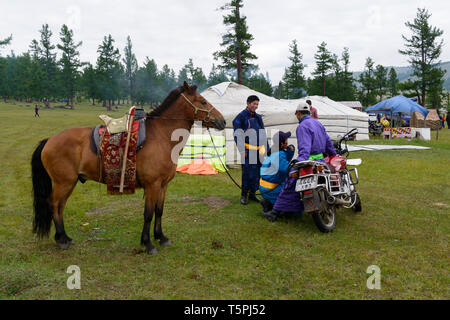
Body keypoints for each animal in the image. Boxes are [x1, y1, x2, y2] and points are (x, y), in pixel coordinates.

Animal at [31, 82, 225, 252]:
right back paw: (61, 239)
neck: (161, 136)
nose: (222, 121)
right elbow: (148, 214)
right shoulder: (152, 185)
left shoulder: (163, 185)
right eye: (203, 101)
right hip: (64, 183)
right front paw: (147, 243)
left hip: (68, 183)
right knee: (54, 204)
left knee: (60, 206)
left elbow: (159, 211)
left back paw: (65, 237)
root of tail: (49, 140)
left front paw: (161, 237)